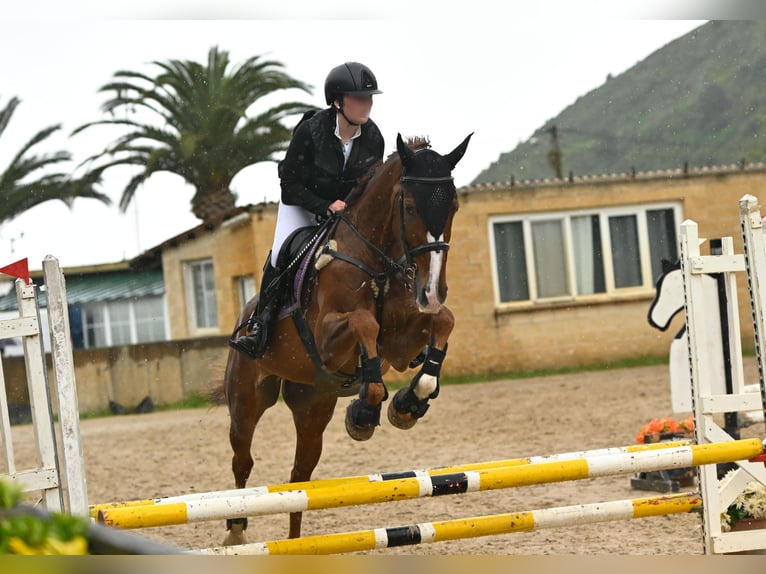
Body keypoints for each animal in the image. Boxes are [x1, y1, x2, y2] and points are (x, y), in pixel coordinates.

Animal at [220, 133, 474, 548]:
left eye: (453, 205)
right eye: (408, 206)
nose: (433, 290)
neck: (378, 262)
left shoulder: (399, 346)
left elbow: (443, 322)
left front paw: (408, 403)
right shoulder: (326, 341)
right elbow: (363, 323)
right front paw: (365, 412)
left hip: (312, 406)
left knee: (299, 479)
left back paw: (296, 544)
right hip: (246, 400)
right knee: (243, 461)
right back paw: (237, 532)